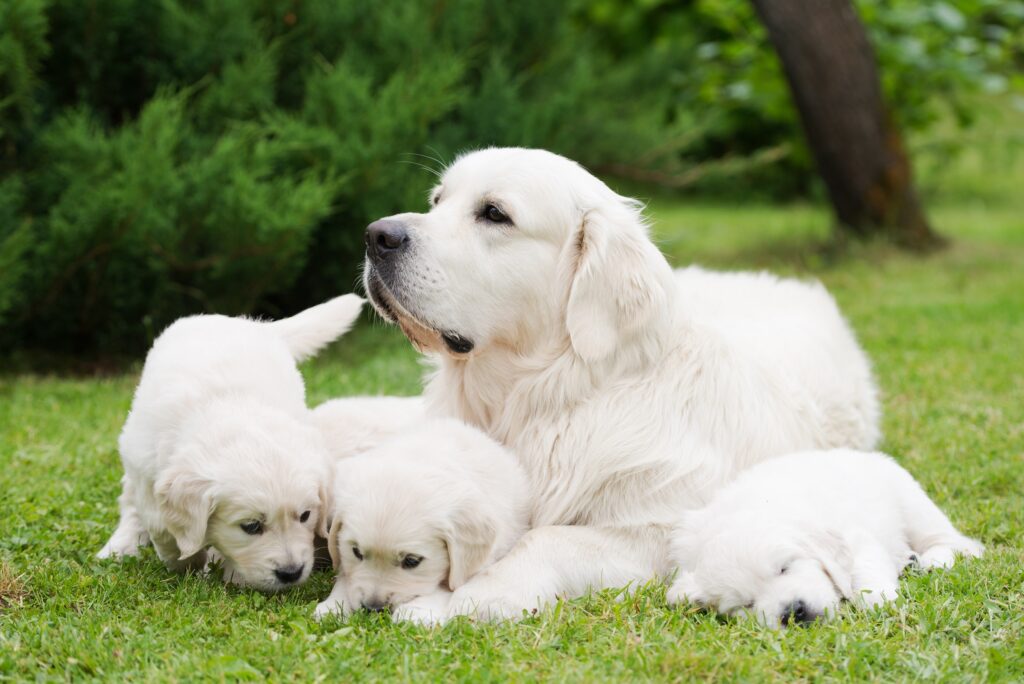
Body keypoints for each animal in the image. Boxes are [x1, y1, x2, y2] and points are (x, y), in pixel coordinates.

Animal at [93, 296, 364, 589]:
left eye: (305, 516)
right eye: (251, 526)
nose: (291, 573)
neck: (229, 406)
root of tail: (244, 322)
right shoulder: (149, 476)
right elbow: (164, 530)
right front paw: (187, 563)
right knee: (130, 503)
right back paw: (120, 547)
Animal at [313, 419, 528, 622]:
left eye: (411, 561)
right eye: (356, 552)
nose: (373, 608)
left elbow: (448, 586)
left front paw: (416, 611)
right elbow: (345, 575)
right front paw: (333, 606)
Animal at [360, 145, 880, 618]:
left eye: (494, 213)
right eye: (437, 200)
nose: (376, 235)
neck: (546, 397)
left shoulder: (663, 529)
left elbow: (547, 538)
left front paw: (476, 595)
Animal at [663, 448, 983, 626]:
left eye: (785, 568)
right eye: (745, 605)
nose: (793, 612)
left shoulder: (856, 539)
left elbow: (864, 574)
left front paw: (882, 603)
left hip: (911, 502)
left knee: (958, 542)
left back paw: (933, 561)